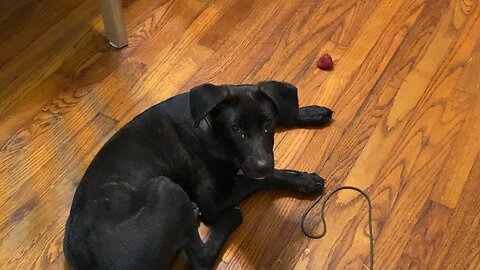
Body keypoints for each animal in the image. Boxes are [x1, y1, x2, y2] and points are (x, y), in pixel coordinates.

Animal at [63, 81, 332, 270]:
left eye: (268, 123)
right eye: (236, 129)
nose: (262, 165)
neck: (210, 128)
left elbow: (288, 113)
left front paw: (311, 112)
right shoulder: (213, 201)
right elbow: (258, 179)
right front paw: (305, 180)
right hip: (166, 188)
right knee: (201, 258)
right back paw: (229, 219)